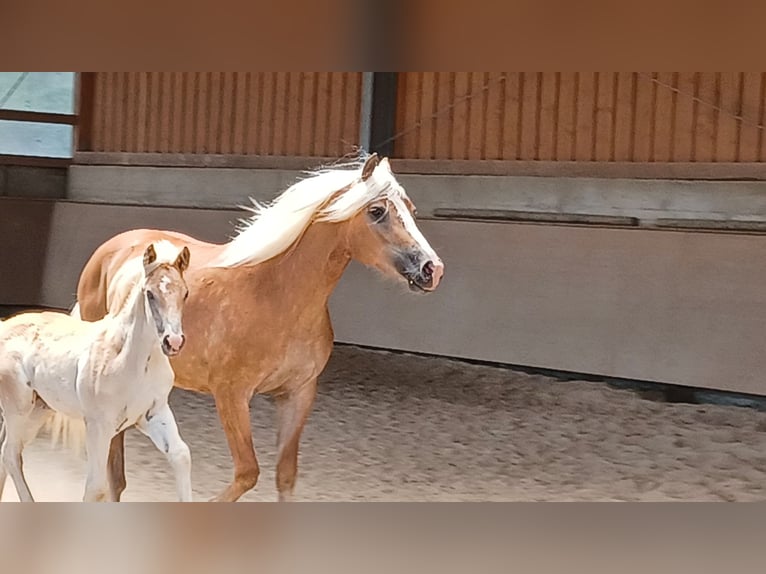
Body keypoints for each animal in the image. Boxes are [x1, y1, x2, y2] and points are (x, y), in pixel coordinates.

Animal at [75, 154, 448, 504]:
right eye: (376, 211)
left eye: (411, 209)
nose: (432, 269)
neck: (274, 295)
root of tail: (112, 250)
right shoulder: (231, 396)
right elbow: (247, 473)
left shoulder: (298, 394)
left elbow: (285, 476)